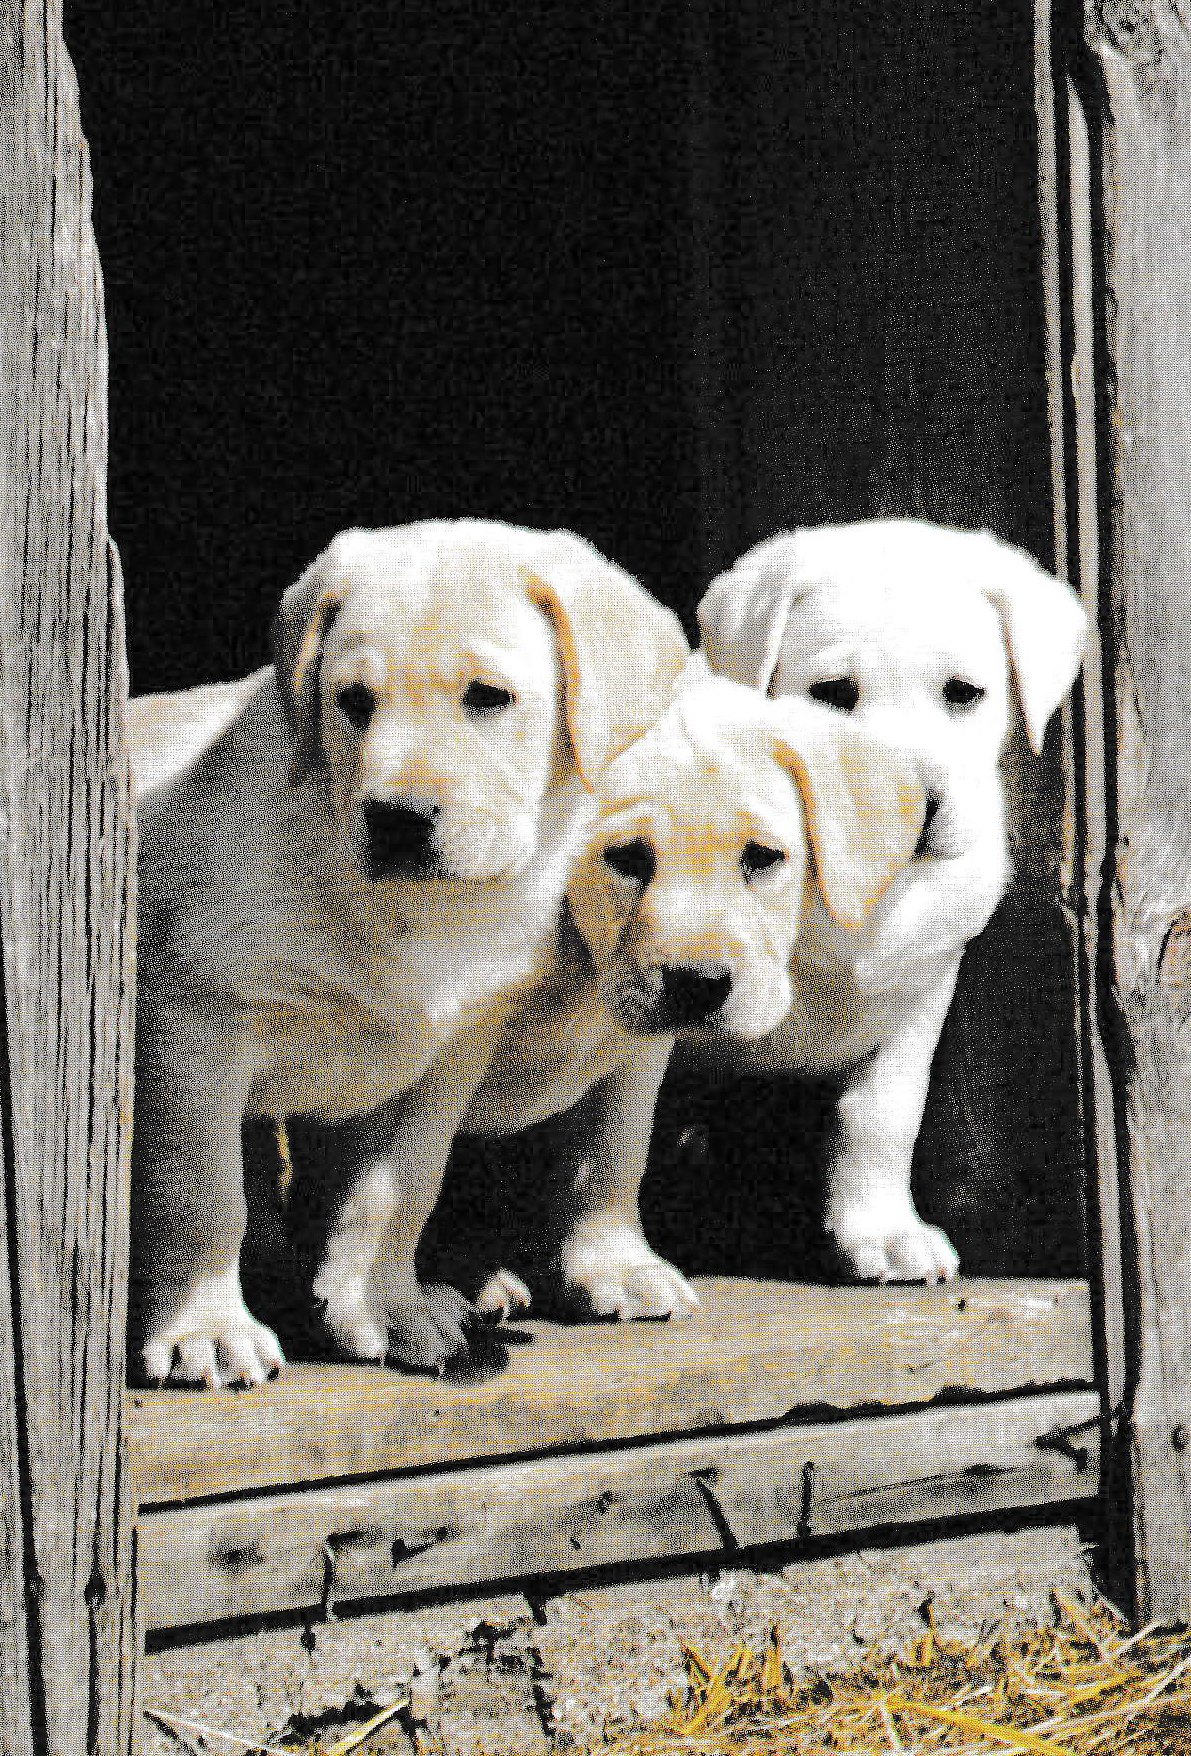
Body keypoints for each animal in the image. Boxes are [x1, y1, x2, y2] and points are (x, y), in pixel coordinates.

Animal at [128, 519, 692, 1383]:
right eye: (353, 702)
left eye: (487, 697)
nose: (396, 818)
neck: (415, 912)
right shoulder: (196, 1028)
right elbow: (204, 1194)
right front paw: (207, 1330)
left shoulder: (446, 1053)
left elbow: (398, 1191)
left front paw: (384, 1309)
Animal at [699, 516, 1089, 1278]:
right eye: (833, 692)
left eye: (963, 692)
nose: (912, 809)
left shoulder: (919, 988)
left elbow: (882, 1117)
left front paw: (880, 1232)